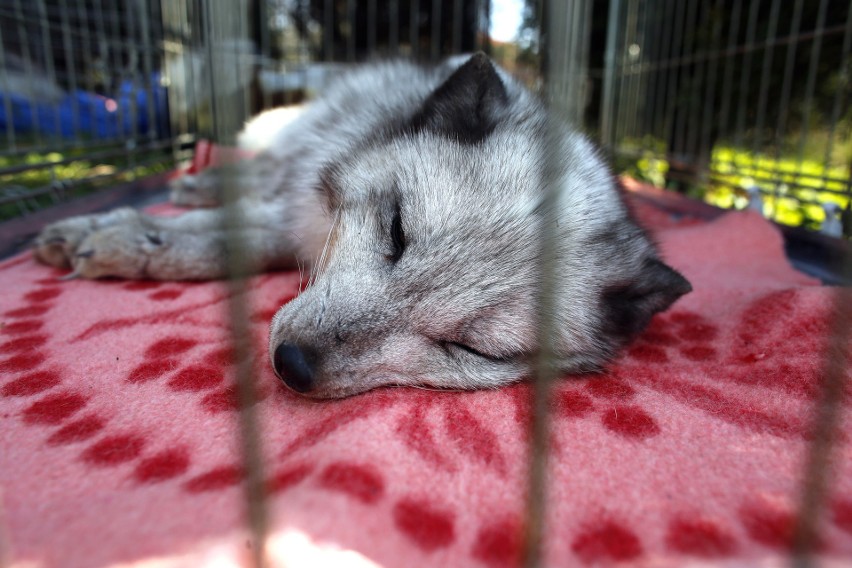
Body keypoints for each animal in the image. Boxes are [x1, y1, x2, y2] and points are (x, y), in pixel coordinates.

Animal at [31, 54, 692, 400]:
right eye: (396, 229)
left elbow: (235, 242)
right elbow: (224, 232)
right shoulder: (295, 208)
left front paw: (132, 242)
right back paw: (198, 182)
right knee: (261, 165)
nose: (292, 364)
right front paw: (128, 236)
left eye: (472, 349)